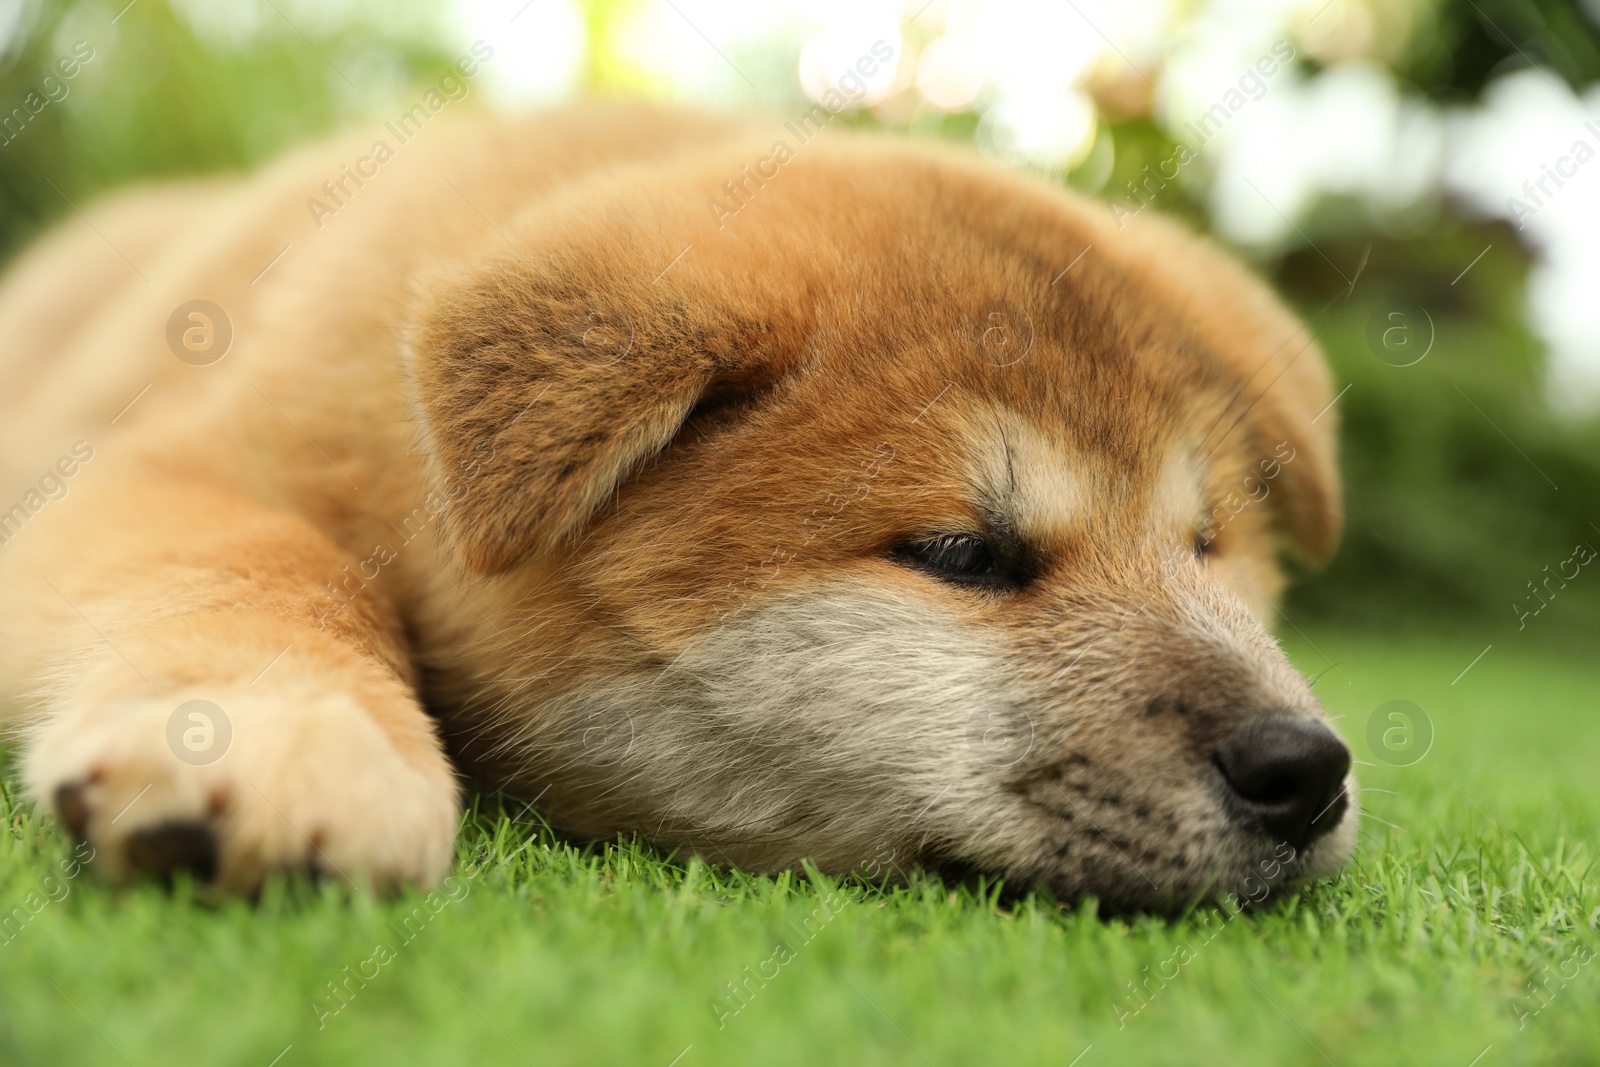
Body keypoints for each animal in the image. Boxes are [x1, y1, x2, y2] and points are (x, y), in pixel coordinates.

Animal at [0, 106, 1356, 908]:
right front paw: (280, 727)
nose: (1303, 765)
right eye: (961, 552)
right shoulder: (174, 464)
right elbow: (260, 555)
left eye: (1205, 547)